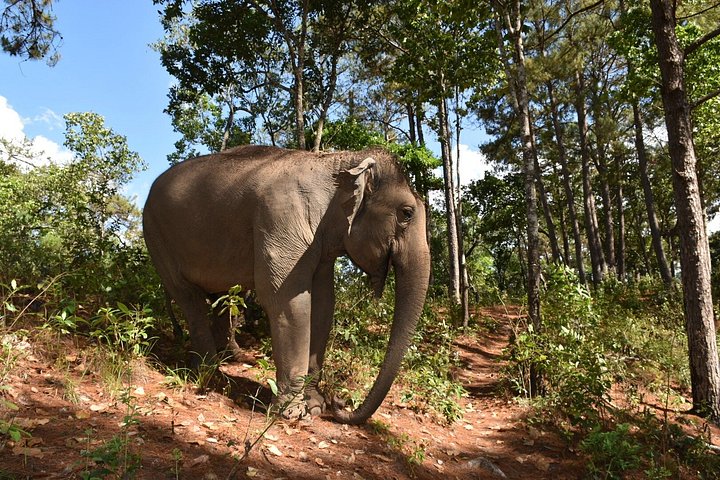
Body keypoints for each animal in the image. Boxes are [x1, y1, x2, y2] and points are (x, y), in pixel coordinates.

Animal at [142, 145, 430, 425]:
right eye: (406, 213)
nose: (338, 403)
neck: (338, 162)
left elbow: (324, 303)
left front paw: (314, 407)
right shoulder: (281, 219)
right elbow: (287, 300)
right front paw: (292, 413)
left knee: (223, 296)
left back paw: (228, 360)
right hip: (157, 237)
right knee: (188, 297)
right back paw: (208, 372)